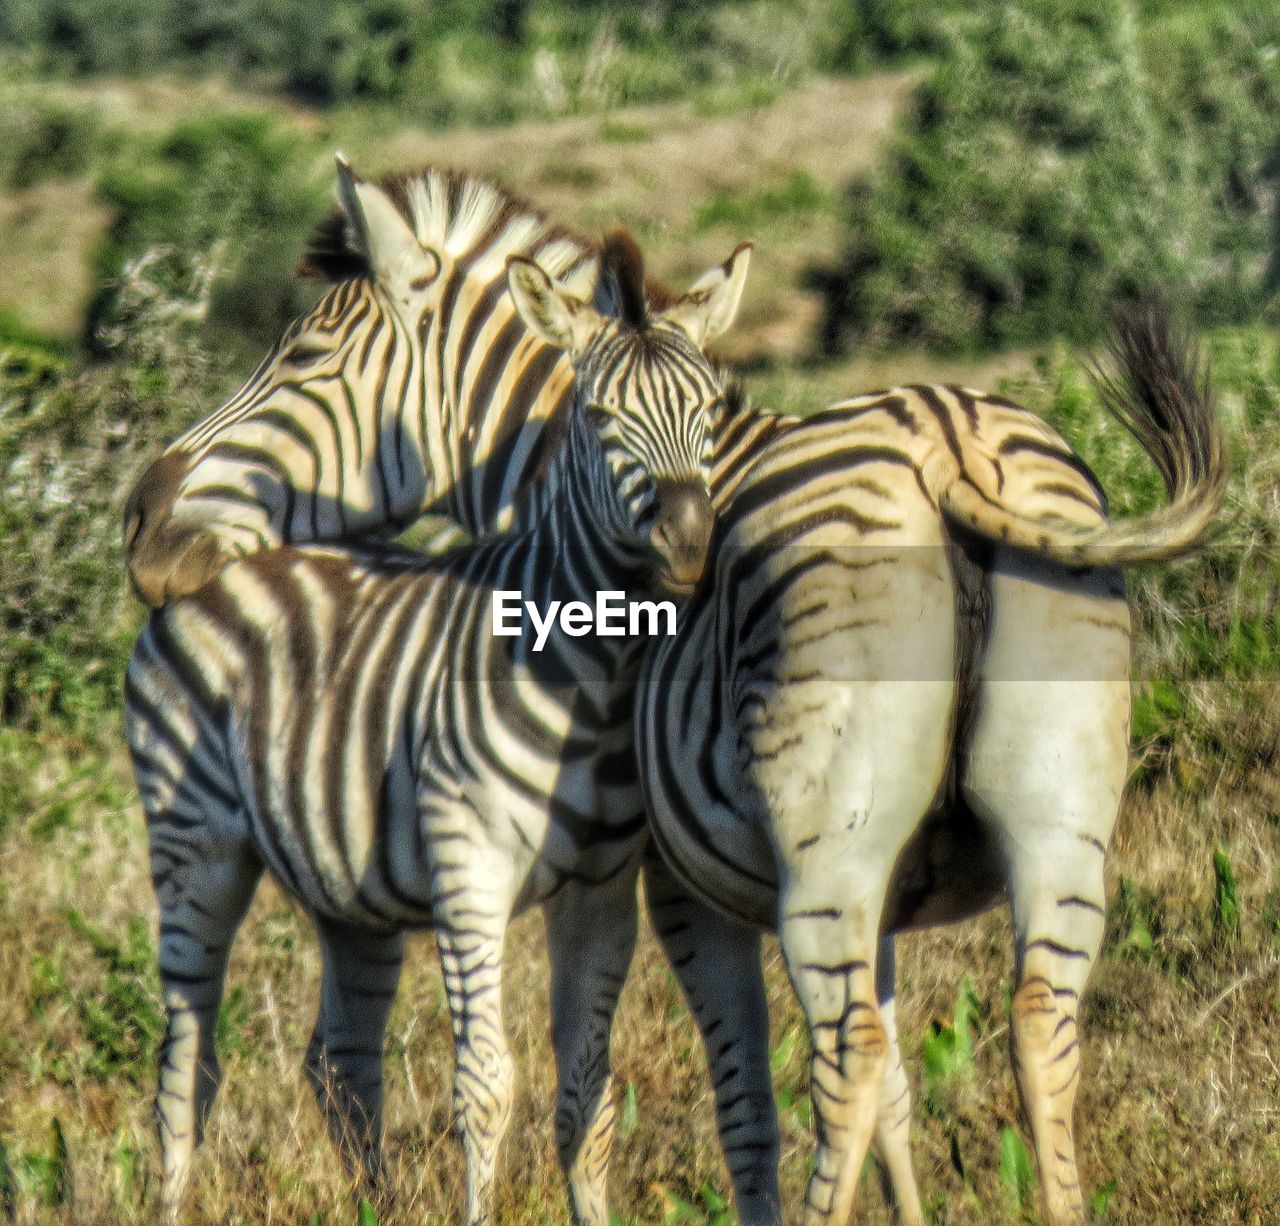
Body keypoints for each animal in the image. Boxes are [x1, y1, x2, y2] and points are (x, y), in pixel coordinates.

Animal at [123, 244, 747, 1223]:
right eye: (599, 416)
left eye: (712, 411)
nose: (689, 539)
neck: (597, 678)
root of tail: (215, 561)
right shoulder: (470, 871)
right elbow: (487, 1085)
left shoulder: (600, 891)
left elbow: (590, 1093)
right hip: (196, 843)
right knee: (187, 1066)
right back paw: (174, 1201)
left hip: (348, 889)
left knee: (341, 1060)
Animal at [634, 309, 1223, 1226]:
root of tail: (947, 438)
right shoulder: (882, 897)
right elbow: (901, 1094)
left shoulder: (671, 878)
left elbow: (726, 1097)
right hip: (1057, 820)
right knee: (1039, 1020)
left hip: (829, 855)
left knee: (848, 1055)